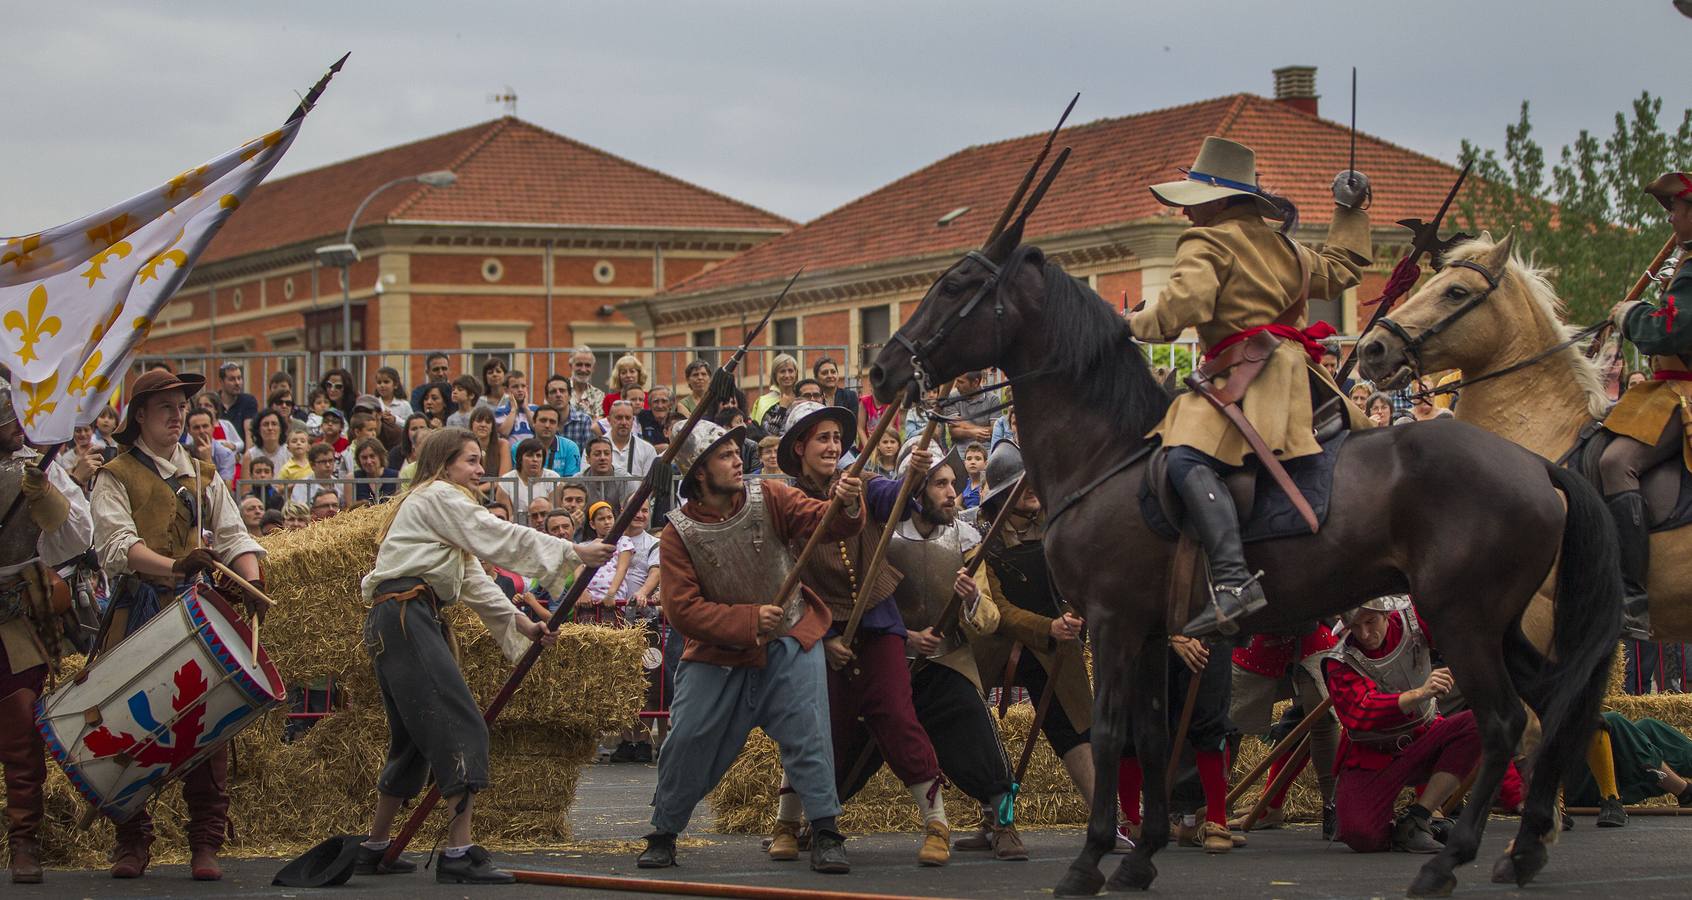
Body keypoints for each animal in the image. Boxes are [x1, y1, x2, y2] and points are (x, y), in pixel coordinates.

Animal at [873, 241, 1624, 893]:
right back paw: (1524, 849)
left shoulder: (1113, 624)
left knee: (1503, 722)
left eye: (956, 287)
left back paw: (1451, 861)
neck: (1107, 452)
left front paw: (1090, 861)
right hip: (1502, 623)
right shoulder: (1149, 633)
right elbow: (1153, 739)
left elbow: (1114, 733)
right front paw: (1139, 856)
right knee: (1554, 706)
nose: (882, 370)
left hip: (1463, 620)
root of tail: (1538, 465)